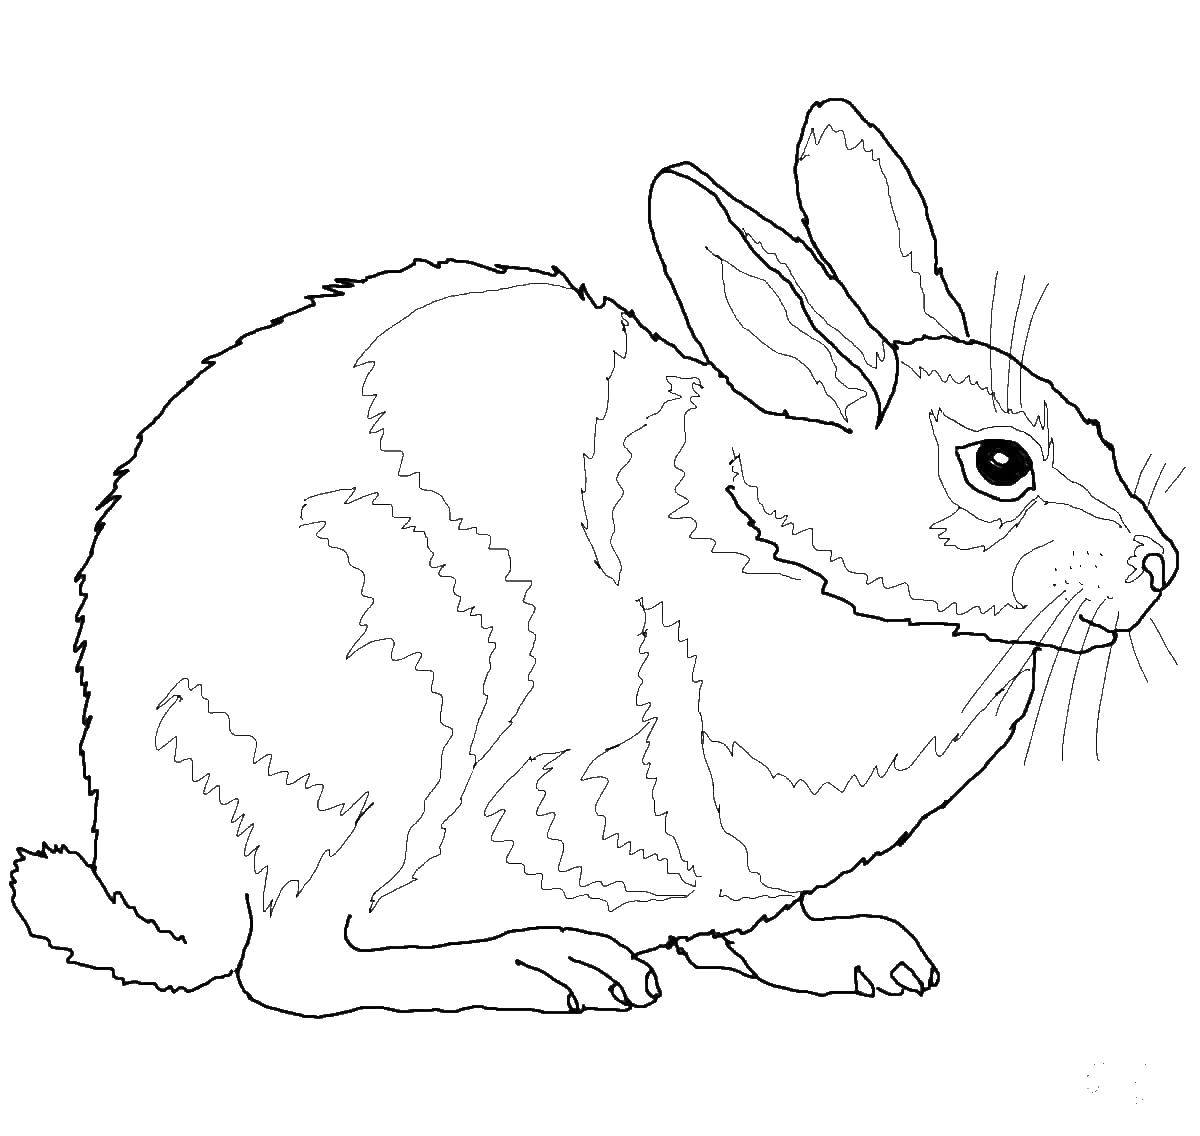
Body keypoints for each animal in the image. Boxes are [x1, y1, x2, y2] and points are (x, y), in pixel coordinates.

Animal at [11, 98, 1178, 1016]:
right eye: (1000, 464)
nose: (1160, 565)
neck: (781, 543)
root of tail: (155, 869)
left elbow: (760, 919)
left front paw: (862, 956)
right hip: (409, 702)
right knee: (290, 962)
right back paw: (550, 968)